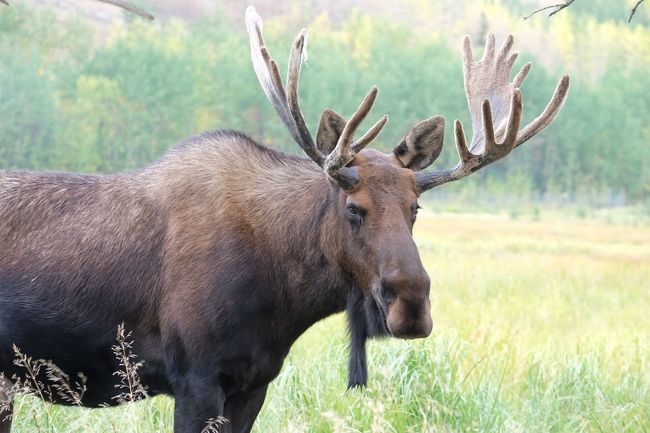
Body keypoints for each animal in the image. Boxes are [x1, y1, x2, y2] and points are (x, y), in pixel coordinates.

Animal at [0, 6, 568, 432]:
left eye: (416, 208)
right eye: (354, 208)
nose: (411, 305)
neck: (284, 295)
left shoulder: (254, 382)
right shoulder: (195, 377)